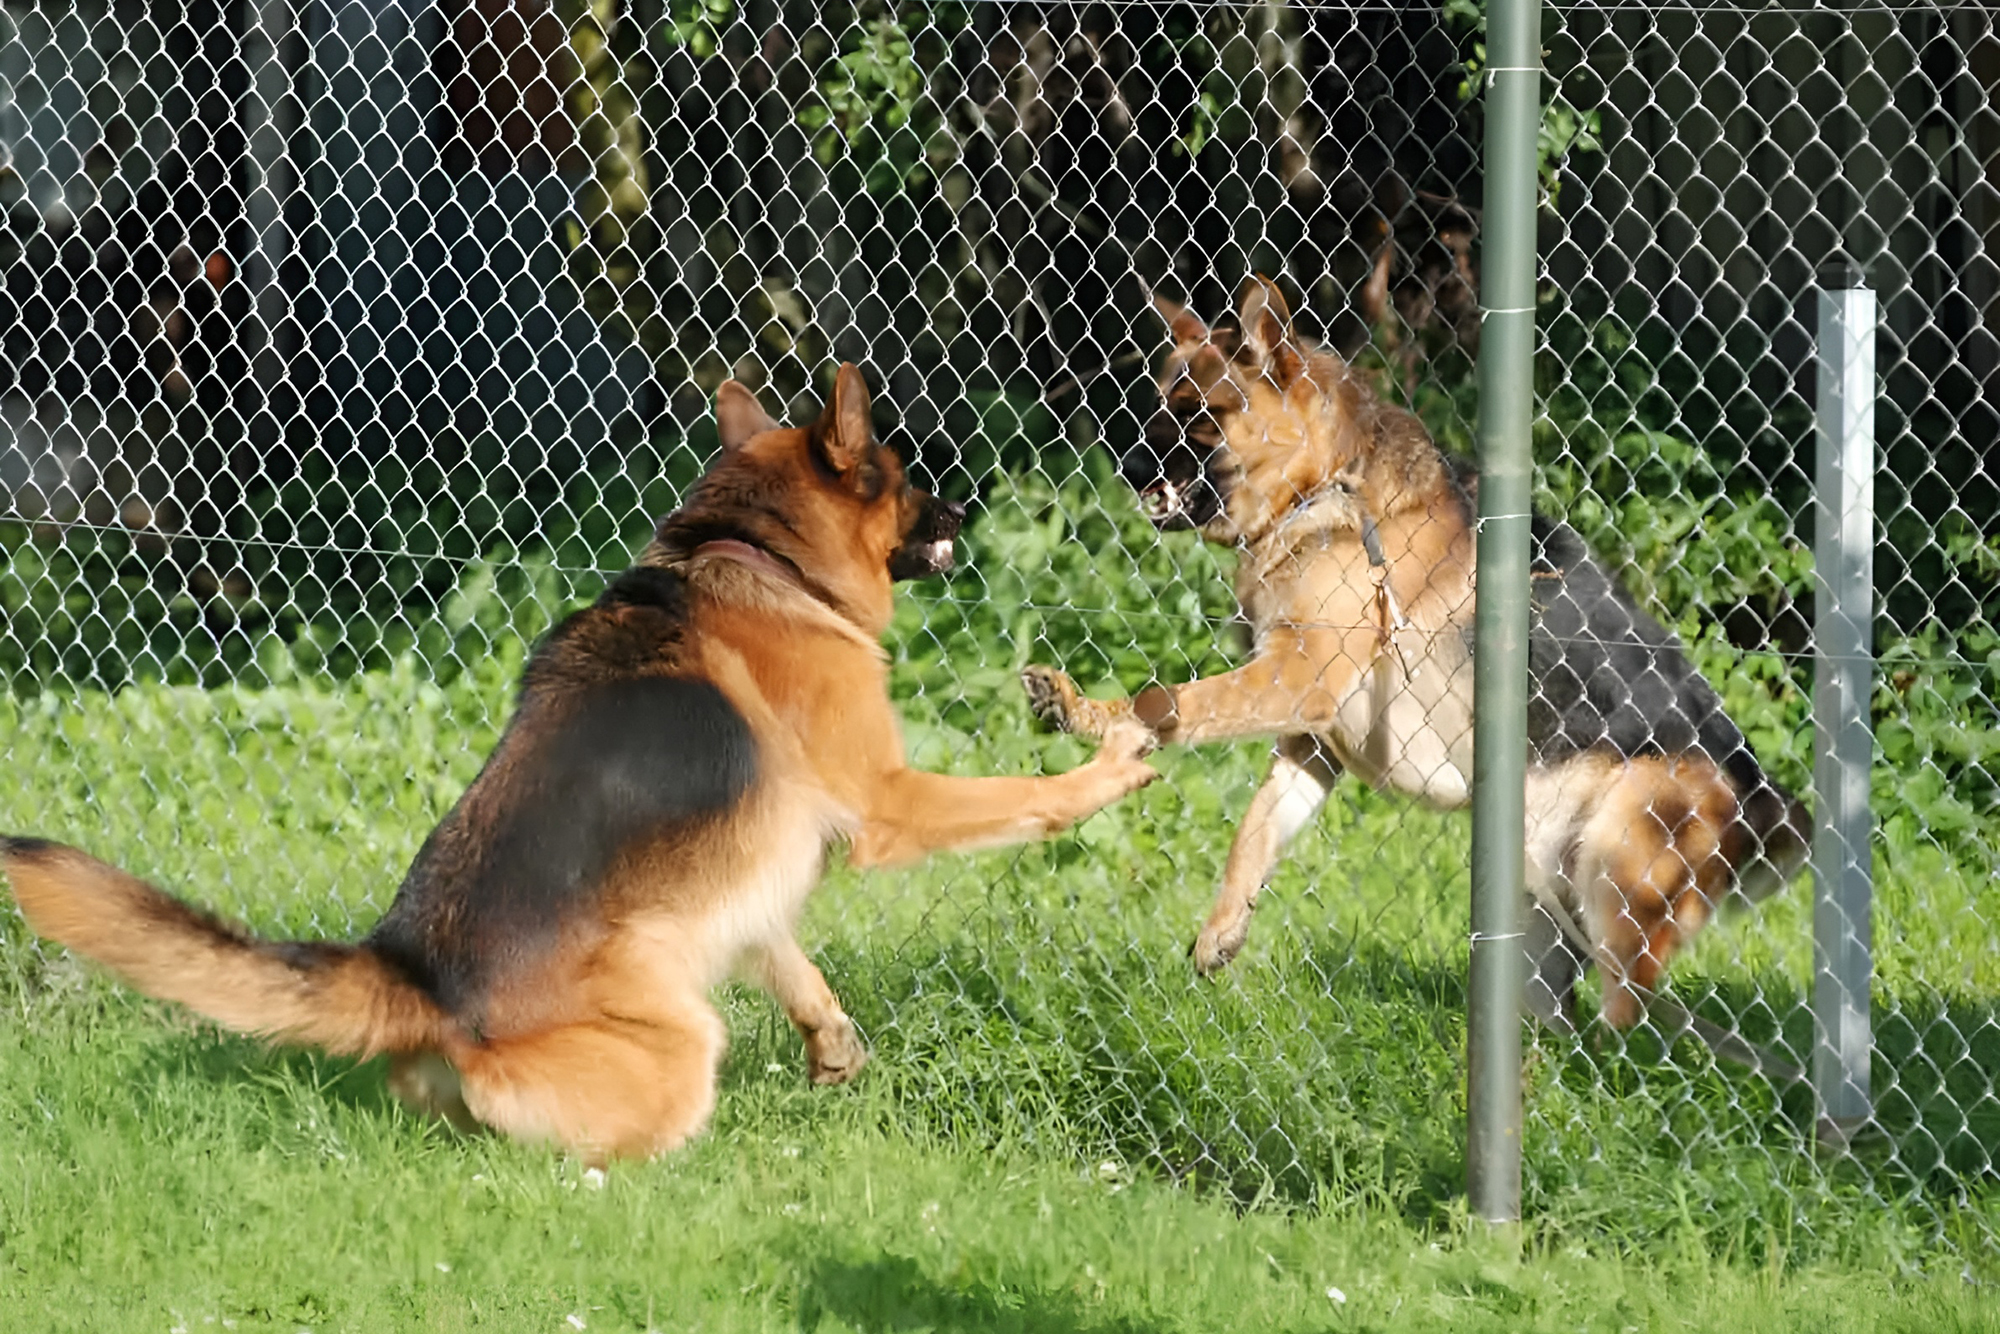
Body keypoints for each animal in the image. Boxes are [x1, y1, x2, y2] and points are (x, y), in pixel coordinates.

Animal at [3, 366, 1160, 1160]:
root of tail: (416, 975)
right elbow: (1028, 799)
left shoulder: (747, 874)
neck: (755, 558)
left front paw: (830, 1041)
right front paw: (1111, 764)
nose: (965, 511)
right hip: (677, 1038)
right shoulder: (890, 803)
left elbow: (783, 950)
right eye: (905, 480)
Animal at [1024, 282, 1824, 1032]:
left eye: (1201, 413)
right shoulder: (1312, 737)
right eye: (1164, 401)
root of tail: (1766, 798)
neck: (1325, 483)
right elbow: (1255, 829)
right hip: (1540, 884)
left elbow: (1170, 702)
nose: (1126, 466)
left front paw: (1094, 718)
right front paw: (1224, 928)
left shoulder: (1295, 679)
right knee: (1563, 1011)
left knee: (1630, 1017)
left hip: (1611, 878)